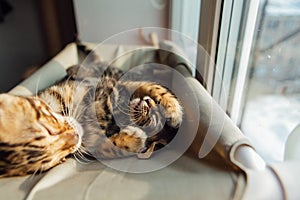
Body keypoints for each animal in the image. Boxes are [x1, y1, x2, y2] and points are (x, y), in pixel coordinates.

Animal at [0, 45, 183, 177]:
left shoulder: (113, 85)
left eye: (49, 128)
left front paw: (174, 111)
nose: (76, 137)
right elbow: (105, 149)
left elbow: (151, 87)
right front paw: (134, 141)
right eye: (59, 159)